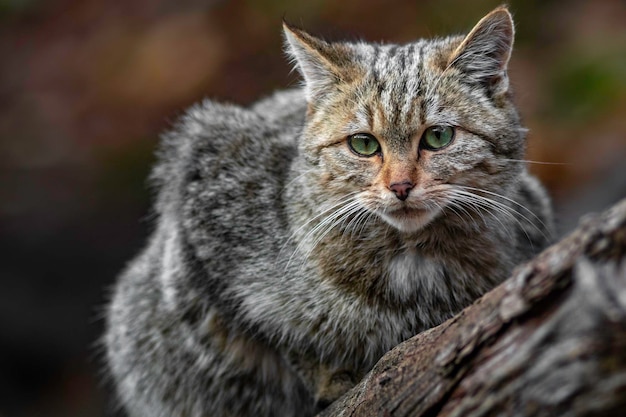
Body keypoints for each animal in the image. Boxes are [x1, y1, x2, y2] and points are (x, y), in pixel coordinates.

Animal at [103, 7, 552, 416]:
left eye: (439, 137)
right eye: (363, 144)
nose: (400, 186)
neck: (413, 265)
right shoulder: (201, 177)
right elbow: (278, 333)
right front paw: (328, 374)